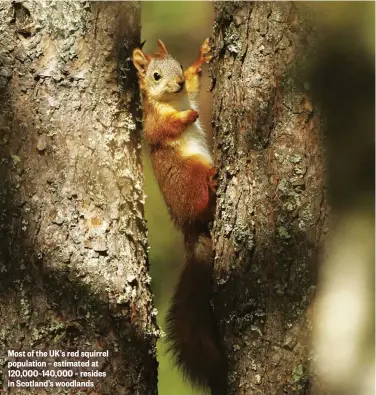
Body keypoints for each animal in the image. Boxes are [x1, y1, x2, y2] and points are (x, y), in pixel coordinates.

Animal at [134, 40, 225, 392]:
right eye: (155, 75)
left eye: (178, 65)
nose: (178, 83)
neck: (173, 101)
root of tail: (189, 228)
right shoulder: (153, 124)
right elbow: (168, 126)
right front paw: (189, 115)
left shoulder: (190, 91)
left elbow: (197, 84)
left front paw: (201, 58)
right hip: (191, 176)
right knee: (201, 201)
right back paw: (211, 186)